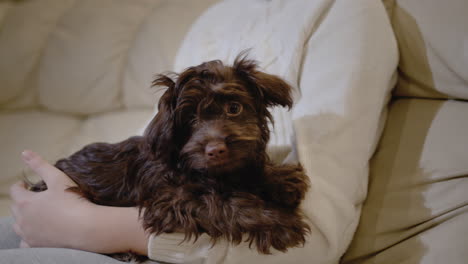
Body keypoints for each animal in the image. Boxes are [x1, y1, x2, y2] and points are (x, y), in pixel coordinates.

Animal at [29, 53, 308, 258]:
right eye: (191, 119)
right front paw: (277, 222)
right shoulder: (170, 200)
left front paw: (280, 179)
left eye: (234, 108)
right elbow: (221, 202)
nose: (216, 149)